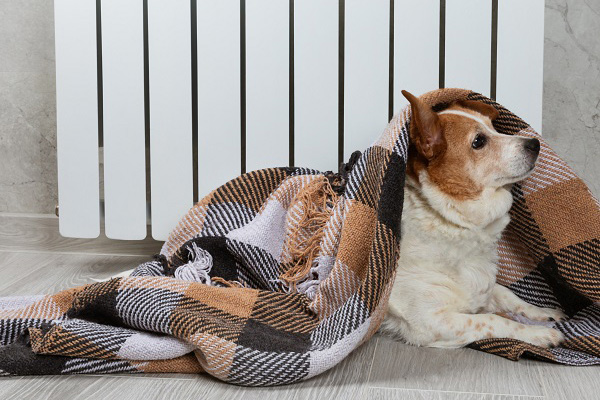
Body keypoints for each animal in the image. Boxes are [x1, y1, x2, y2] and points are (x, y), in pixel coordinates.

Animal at [380, 92, 568, 348]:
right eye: (478, 141)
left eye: (494, 127)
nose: (535, 144)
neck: (452, 222)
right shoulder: (430, 321)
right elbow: (494, 320)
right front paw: (538, 333)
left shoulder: (481, 284)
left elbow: (507, 294)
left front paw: (543, 312)